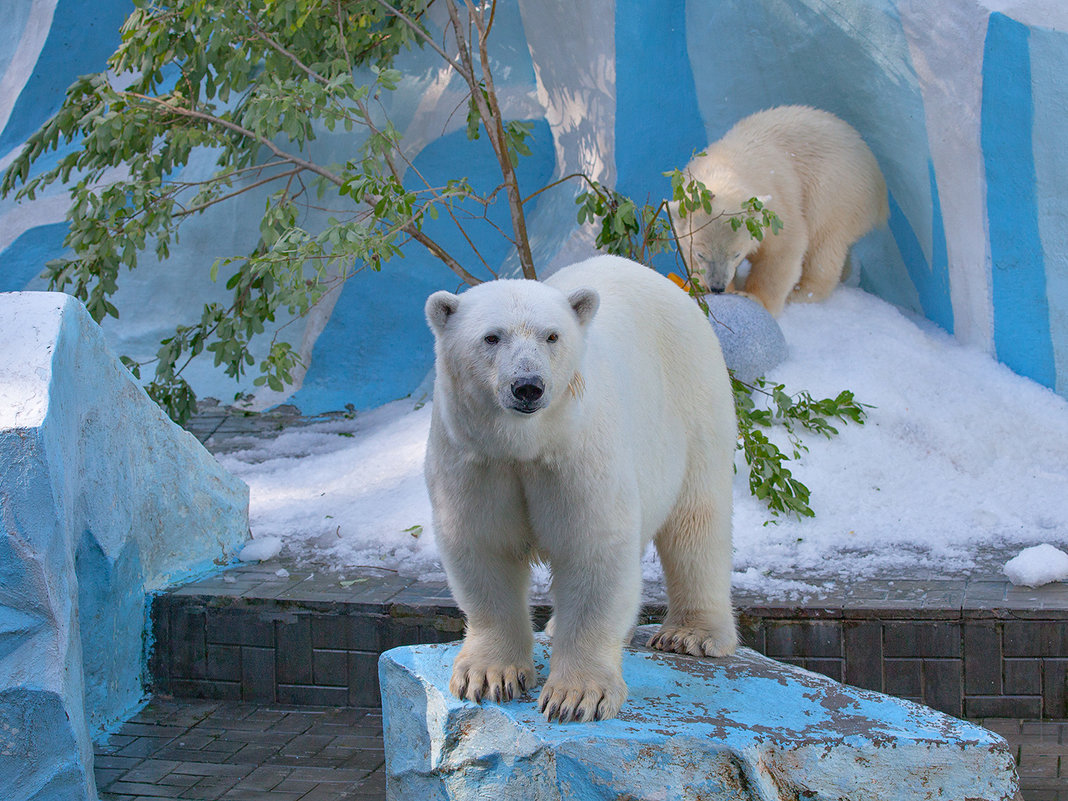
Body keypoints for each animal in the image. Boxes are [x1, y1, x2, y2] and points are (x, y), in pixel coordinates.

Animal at [420, 254, 739, 726]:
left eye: (552, 336)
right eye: (491, 337)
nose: (528, 386)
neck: (526, 445)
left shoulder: (577, 455)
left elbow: (593, 552)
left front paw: (574, 696)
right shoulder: (476, 460)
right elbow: (483, 550)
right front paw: (490, 676)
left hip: (694, 400)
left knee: (697, 522)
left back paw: (691, 634)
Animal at [670, 105, 888, 316]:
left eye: (736, 254)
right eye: (700, 254)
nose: (717, 287)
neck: (725, 168)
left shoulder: (775, 208)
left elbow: (783, 249)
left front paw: (754, 298)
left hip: (835, 190)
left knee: (824, 242)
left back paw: (800, 292)